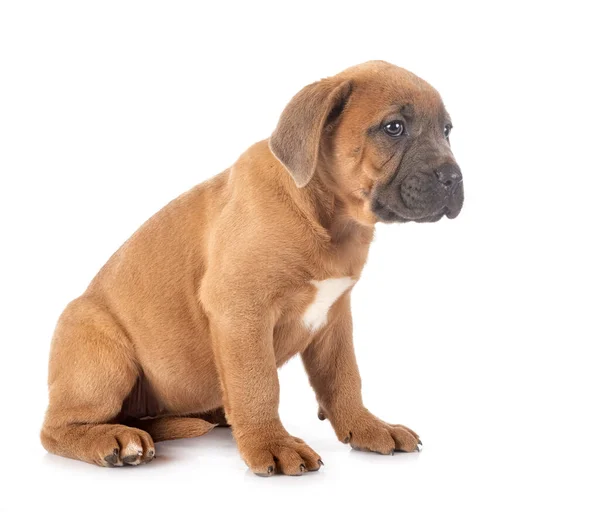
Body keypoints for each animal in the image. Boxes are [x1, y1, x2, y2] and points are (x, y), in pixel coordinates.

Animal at [41, 61, 464, 476]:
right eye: (394, 128)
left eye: (447, 131)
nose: (454, 177)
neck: (329, 219)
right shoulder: (242, 311)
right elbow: (258, 384)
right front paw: (271, 443)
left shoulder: (334, 318)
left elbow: (344, 377)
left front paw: (366, 426)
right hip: (102, 354)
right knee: (57, 428)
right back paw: (114, 440)